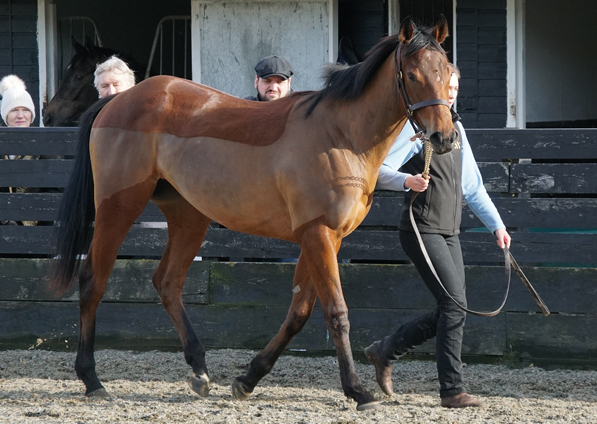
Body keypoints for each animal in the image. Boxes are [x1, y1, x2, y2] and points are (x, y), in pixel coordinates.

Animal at [50, 17, 456, 410]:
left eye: (448, 72)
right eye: (412, 75)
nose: (445, 138)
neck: (339, 137)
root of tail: (119, 100)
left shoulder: (325, 239)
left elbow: (299, 312)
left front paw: (248, 379)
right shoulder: (318, 234)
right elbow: (336, 313)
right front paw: (358, 391)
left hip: (188, 215)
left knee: (168, 282)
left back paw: (199, 370)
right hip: (118, 206)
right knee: (93, 281)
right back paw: (92, 380)